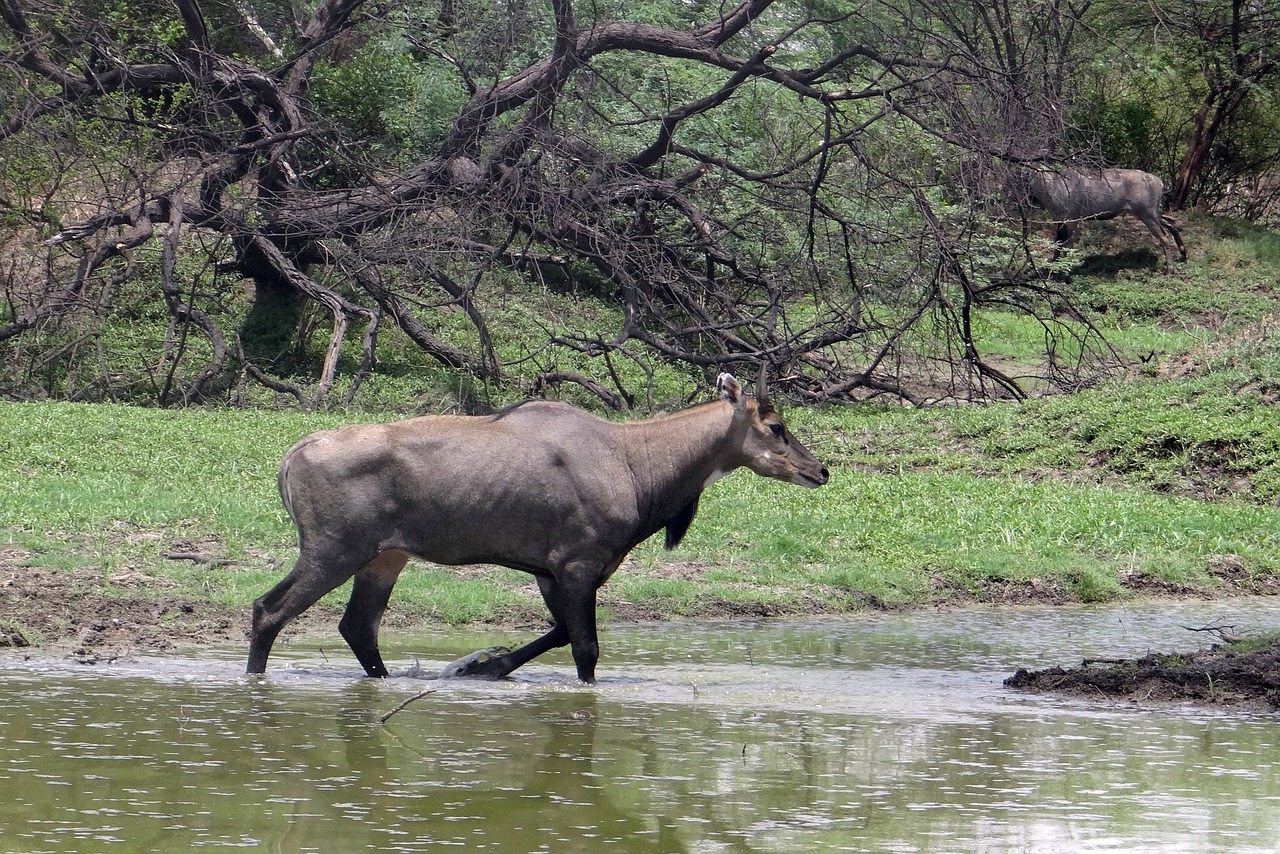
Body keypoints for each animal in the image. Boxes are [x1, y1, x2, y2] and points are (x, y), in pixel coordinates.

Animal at [247, 371, 829, 686]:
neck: (635, 464)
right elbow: (585, 648)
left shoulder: (551, 571)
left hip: (385, 556)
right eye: (776, 426)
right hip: (334, 549)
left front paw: (480, 666)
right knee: (270, 609)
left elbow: (560, 632)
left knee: (358, 627)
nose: (819, 470)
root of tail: (290, 457)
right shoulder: (578, 564)